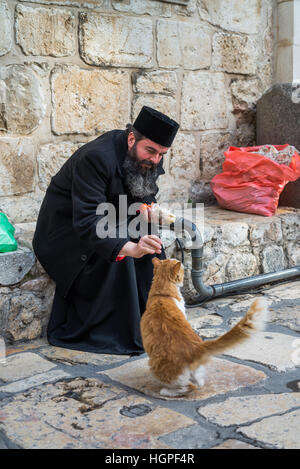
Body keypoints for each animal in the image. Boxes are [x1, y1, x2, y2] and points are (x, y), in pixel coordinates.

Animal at [141, 258, 270, 396]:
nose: (183, 266)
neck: (162, 294)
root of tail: (197, 348)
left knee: (189, 386)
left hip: (156, 364)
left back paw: (166, 391)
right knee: (199, 383)